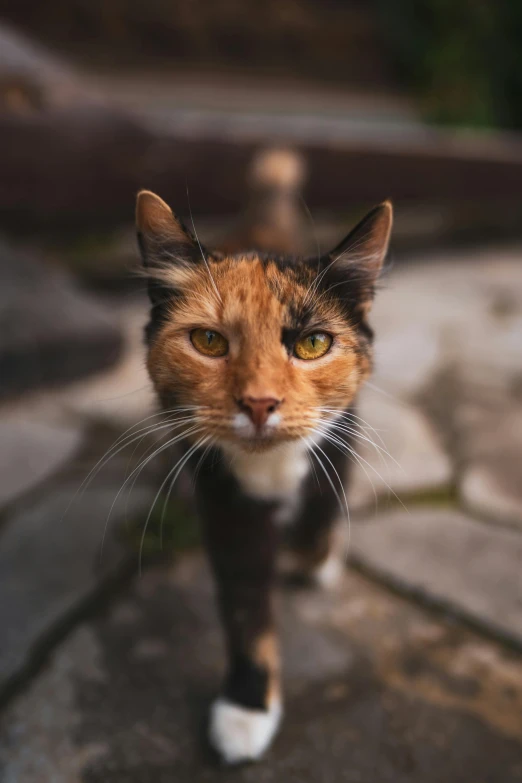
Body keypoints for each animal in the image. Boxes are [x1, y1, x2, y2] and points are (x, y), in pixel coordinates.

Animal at [134, 150, 390, 764]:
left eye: (313, 343)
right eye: (207, 341)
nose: (259, 402)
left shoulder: (343, 438)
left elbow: (319, 515)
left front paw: (314, 559)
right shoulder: (222, 493)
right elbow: (245, 599)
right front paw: (247, 706)